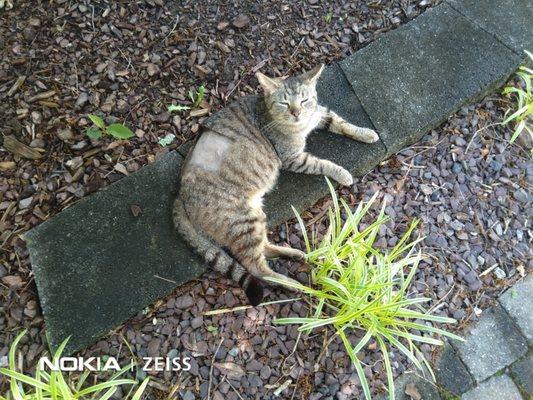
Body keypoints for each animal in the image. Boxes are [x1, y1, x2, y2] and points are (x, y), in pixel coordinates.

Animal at [172, 64, 376, 304]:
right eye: (285, 103)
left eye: (304, 100)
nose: (296, 113)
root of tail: (179, 195)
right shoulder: (294, 158)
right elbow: (322, 164)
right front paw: (343, 173)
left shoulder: (319, 113)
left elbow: (342, 123)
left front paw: (366, 133)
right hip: (243, 221)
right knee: (256, 266)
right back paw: (293, 284)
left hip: (255, 216)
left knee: (265, 248)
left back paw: (295, 254)